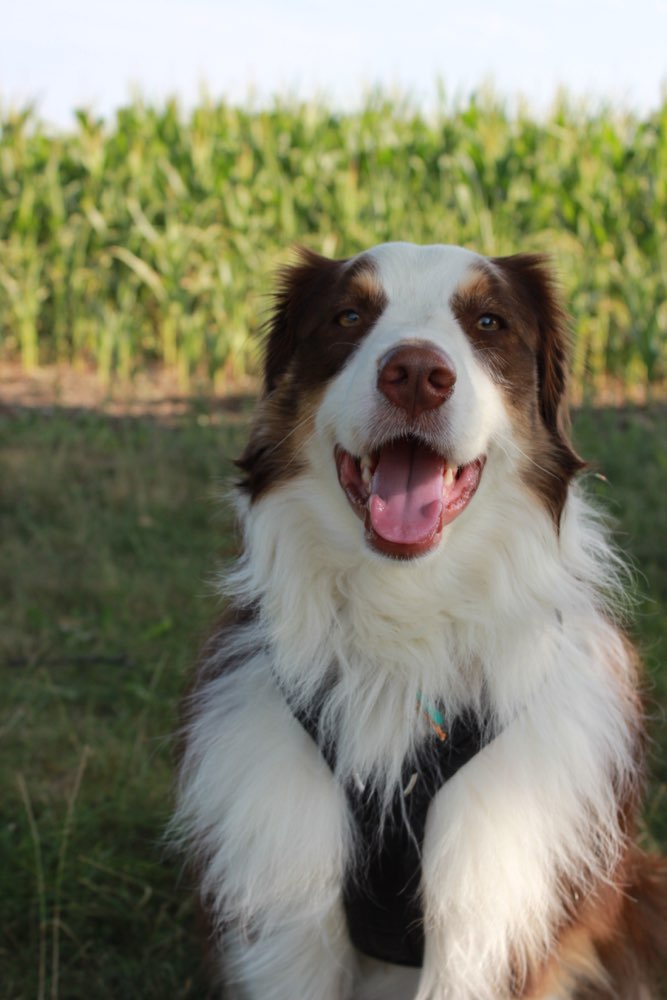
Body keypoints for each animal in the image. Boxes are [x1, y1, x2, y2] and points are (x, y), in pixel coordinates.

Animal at [174, 244, 667, 1000]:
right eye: (349, 315)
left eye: (488, 321)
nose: (414, 376)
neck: (404, 619)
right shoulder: (288, 905)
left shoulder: (491, 908)